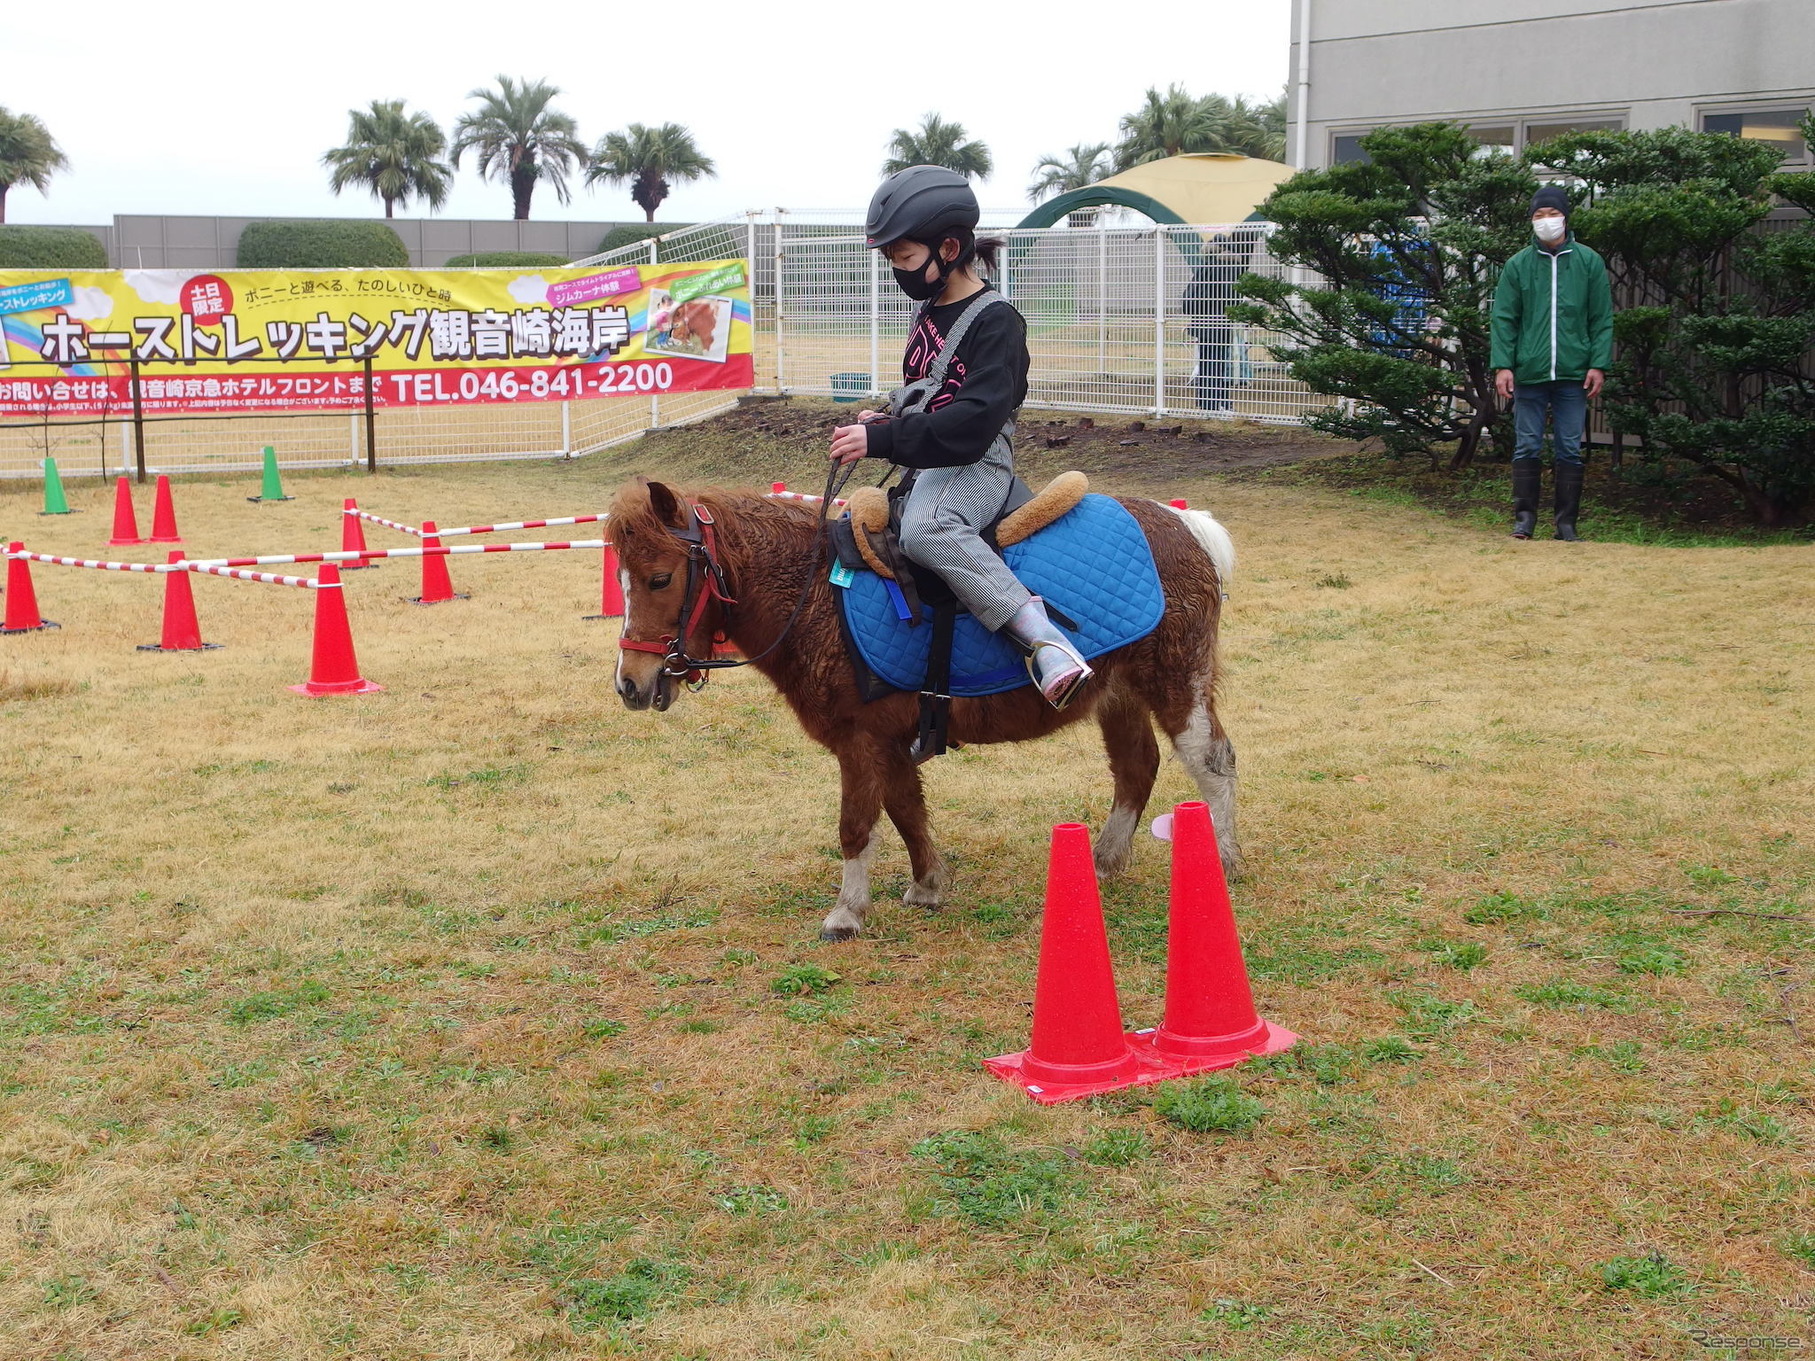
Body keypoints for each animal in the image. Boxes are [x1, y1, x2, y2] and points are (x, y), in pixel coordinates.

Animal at [617, 479, 1241, 936]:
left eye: (659, 578)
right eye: (621, 578)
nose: (630, 685)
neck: (816, 595)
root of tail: (1184, 524)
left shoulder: (859, 739)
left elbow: (856, 824)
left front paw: (847, 913)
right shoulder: (890, 738)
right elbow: (905, 810)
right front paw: (928, 885)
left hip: (1177, 678)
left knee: (1211, 760)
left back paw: (1225, 860)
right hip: (1118, 693)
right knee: (1137, 767)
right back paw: (1106, 860)